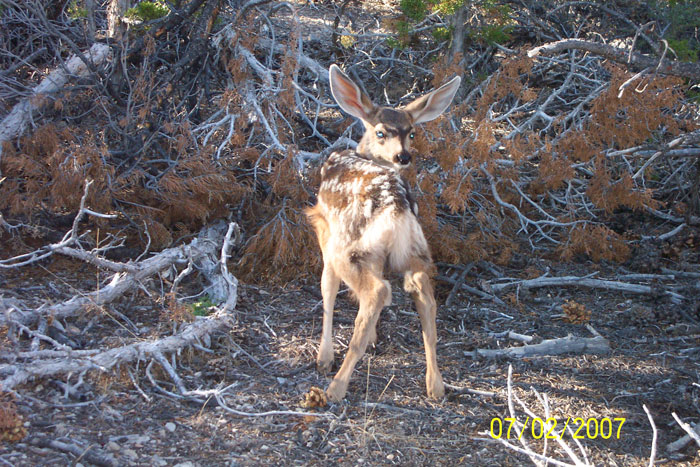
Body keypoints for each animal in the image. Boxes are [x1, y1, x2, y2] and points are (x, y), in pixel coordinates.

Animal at [304, 64, 460, 404]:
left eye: (411, 132)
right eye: (381, 132)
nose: (404, 156)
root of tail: (396, 207)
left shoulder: (325, 231)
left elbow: (327, 290)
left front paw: (324, 357)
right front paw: (374, 337)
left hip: (349, 247)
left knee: (377, 291)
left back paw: (336, 386)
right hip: (415, 248)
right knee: (423, 294)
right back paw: (435, 385)